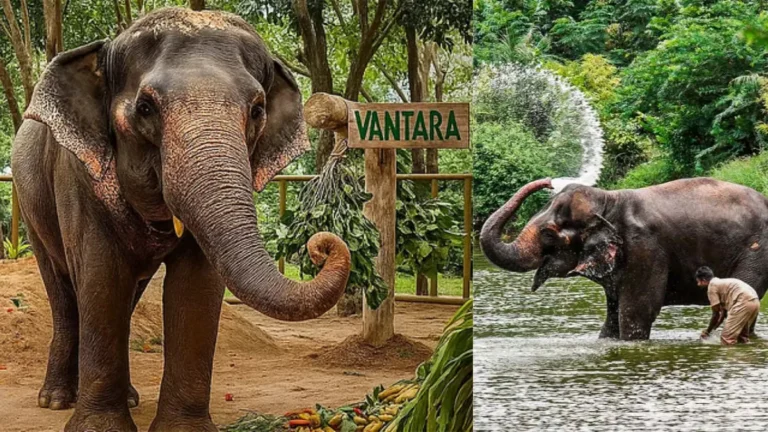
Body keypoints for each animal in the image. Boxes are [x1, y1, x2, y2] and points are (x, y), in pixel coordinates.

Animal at [11, 8, 350, 432]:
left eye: (257, 110)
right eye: (145, 108)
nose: (323, 245)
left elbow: (197, 284)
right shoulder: (77, 174)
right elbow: (101, 276)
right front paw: (98, 427)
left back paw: (127, 397)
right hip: (30, 201)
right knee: (62, 289)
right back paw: (55, 399)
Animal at [480, 177, 768, 341]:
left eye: (548, 233)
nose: (550, 181)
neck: (609, 199)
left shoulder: (645, 248)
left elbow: (637, 311)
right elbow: (613, 314)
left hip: (756, 253)